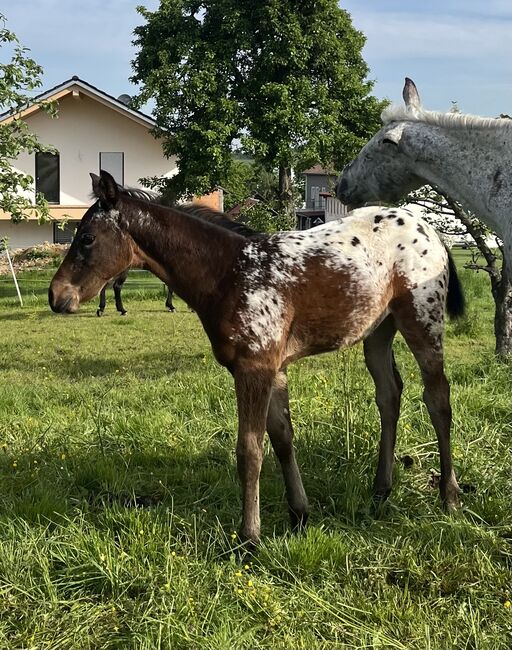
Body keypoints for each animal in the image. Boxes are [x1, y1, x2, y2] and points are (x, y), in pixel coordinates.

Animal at [48, 170, 464, 544]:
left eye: (87, 238)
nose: (56, 296)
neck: (228, 273)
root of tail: (430, 229)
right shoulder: (274, 369)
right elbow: (282, 437)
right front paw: (299, 514)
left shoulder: (253, 369)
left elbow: (250, 450)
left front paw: (250, 537)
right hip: (378, 331)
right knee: (389, 396)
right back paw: (380, 490)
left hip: (422, 322)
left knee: (438, 399)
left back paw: (449, 497)